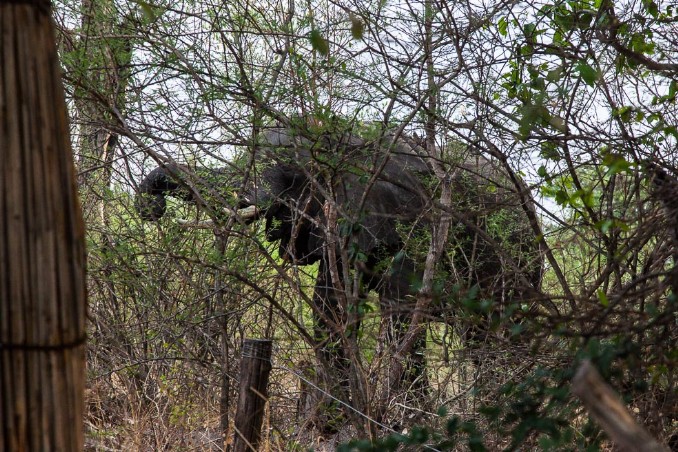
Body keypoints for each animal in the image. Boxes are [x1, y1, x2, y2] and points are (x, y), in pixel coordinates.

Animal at [135, 125, 544, 400]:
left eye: (290, 171)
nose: (152, 207)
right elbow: (328, 309)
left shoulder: (405, 220)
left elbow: (400, 313)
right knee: (481, 338)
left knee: (502, 331)